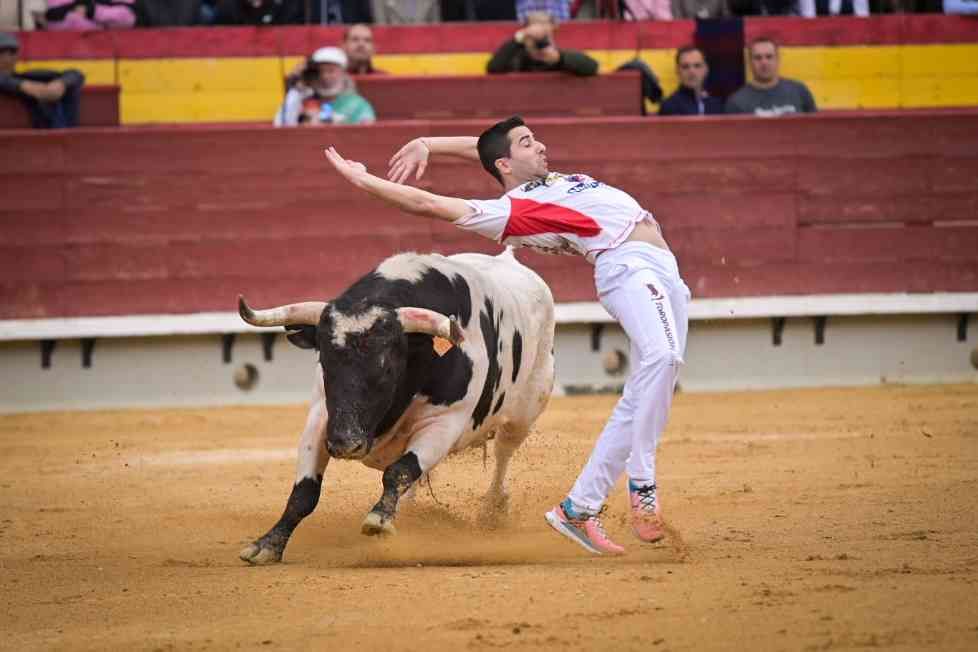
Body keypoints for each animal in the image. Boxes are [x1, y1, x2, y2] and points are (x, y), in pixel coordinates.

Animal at [236, 247, 552, 564]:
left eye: (387, 368)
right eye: (325, 361)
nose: (346, 444)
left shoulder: (444, 424)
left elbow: (399, 471)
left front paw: (379, 519)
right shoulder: (321, 418)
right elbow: (304, 492)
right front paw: (268, 544)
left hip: (524, 414)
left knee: (503, 455)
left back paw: (492, 511)